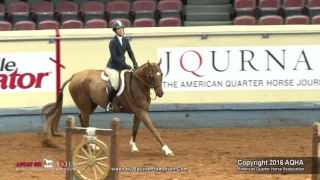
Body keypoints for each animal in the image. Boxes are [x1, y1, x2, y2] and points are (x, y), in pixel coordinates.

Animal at [42, 59, 175, 156]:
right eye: (152, 76)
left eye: (161, 74)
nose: (160, 93)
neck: (138, 85)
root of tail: (75, 76)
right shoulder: (141, 112)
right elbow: (154, 130)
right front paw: (167, 150)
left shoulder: (139, 112)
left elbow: (135, 129)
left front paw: (133, 146)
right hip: (85, 106)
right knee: (86, 121)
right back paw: (91, 145)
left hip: (91, 105)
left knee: (82, 117)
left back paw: (87, 142)